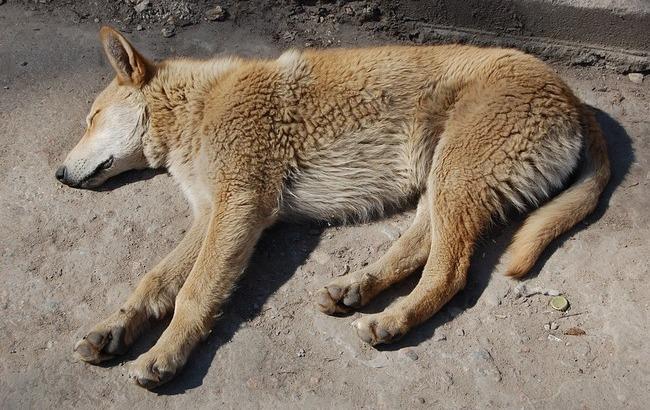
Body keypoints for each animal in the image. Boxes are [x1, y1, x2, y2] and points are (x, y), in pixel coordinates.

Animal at [58, 26, 612, 388]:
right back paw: (357, 287)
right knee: (419, 247)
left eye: (92, 118)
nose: (58, 175)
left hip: (456, 177)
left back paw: (392, 319)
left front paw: (166, 353)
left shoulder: (240, 206)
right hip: (442, 181)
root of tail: (570, 95)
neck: (198, 106)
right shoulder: (211, 214)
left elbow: (194, 292)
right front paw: (114, 329)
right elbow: (155, 282)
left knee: (450, 271)